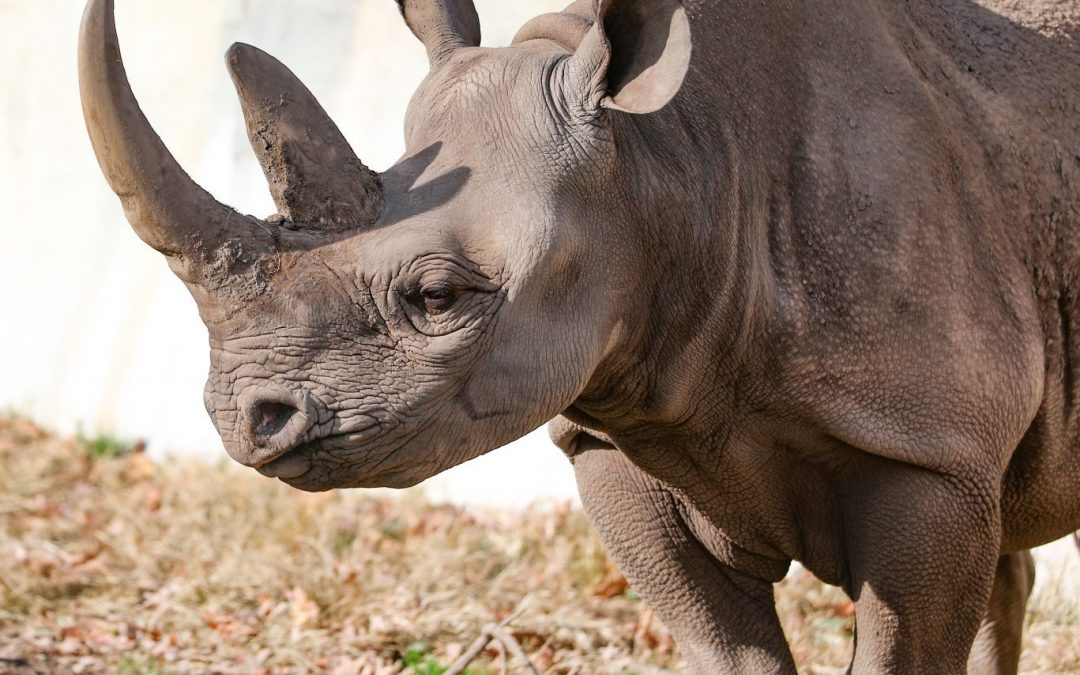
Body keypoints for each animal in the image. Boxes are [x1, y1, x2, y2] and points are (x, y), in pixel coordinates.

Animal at [79, 0, 1080, 671]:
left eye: (438, 295)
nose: (243, 419)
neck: (671, 160)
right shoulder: (617, 432)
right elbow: (732, 651)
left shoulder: (926, 450)